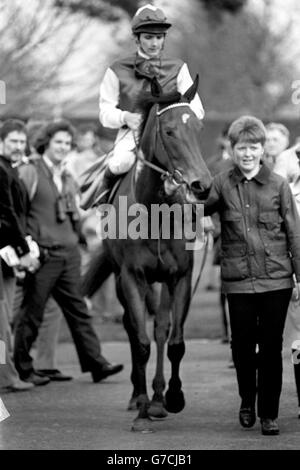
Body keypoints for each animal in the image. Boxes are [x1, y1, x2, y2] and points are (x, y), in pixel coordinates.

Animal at [82, 77, 212, 434]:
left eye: (198, 127)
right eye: (168, 131)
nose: (202, 185)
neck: (154, 212)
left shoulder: (179, 277)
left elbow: (174, 340)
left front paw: (172, 398)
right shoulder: (132, 277)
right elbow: (140, 342)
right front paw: (141, 411)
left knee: (161, 329)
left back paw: (157, 398)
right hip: (121, 281)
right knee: (132, 327)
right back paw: (139, 396)